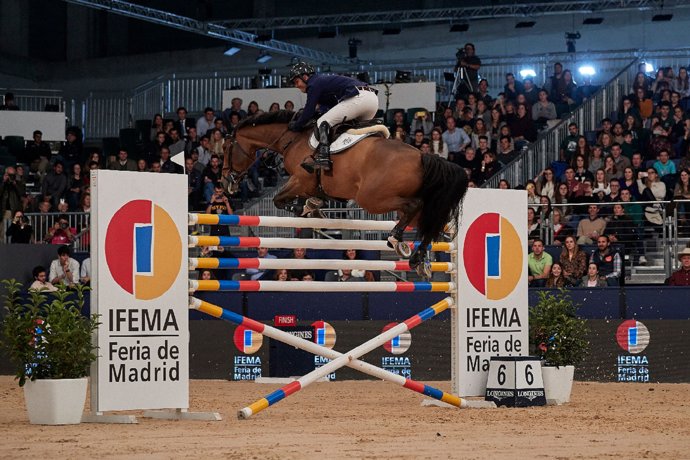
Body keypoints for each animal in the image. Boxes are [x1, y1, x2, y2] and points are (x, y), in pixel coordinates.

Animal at [224, 110, 468, 277]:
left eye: (227, 149)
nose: (227, 181)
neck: (291, 139)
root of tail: (421, 156)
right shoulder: (311, 185)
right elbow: (313, 198)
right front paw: (314, 207)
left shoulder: (300, 180)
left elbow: (278, 200)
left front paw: (304, 209)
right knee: (428, 221)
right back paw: (419, 258)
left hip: (372, 199)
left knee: (413, 206)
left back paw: (396, 239)